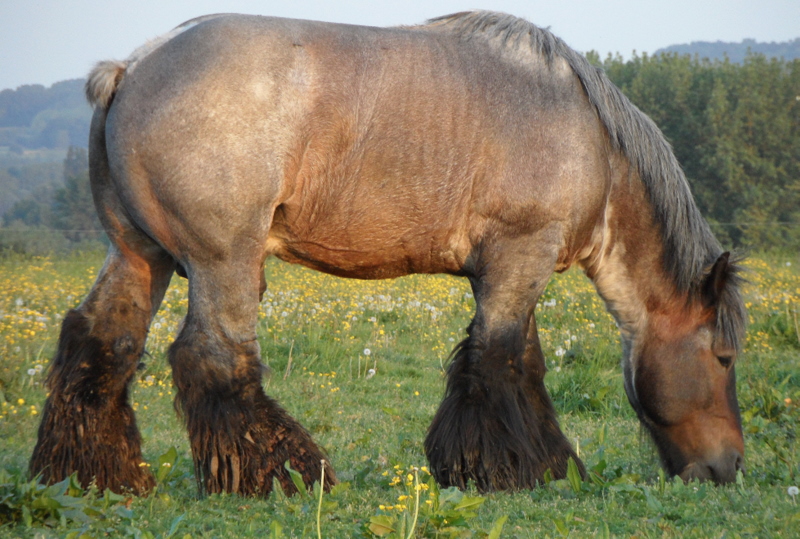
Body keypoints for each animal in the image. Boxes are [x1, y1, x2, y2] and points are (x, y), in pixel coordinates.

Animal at [28, 10, 748, 498]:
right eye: (723, 357)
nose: (730, 465)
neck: (588, 138)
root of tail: (130, 70)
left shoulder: (510, 267)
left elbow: (514, 362)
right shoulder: (522, 254)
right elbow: (500, 363)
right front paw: (518, 470)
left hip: (139, 255)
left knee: (100, 343)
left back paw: (97, 477)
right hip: (221, 262)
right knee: (213, 360)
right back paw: (289, 475)